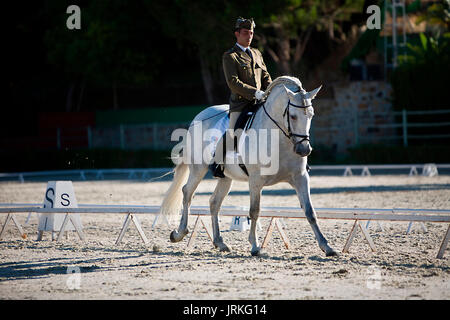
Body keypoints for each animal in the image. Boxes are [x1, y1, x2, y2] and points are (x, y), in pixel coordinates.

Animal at [160, 75, 336, 258]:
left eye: (311, 115)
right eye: (293, 116)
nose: (304, 149)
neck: (279, 140)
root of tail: (200, 116)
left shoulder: (300, 177)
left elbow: (310, 212)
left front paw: (327, 247)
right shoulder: (256, 180)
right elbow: (254, 211)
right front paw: (255, 246)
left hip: (226, 178)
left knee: (214, 202)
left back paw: (220, 242)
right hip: (198, 169)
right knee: (187, 193)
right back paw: (179, 233)